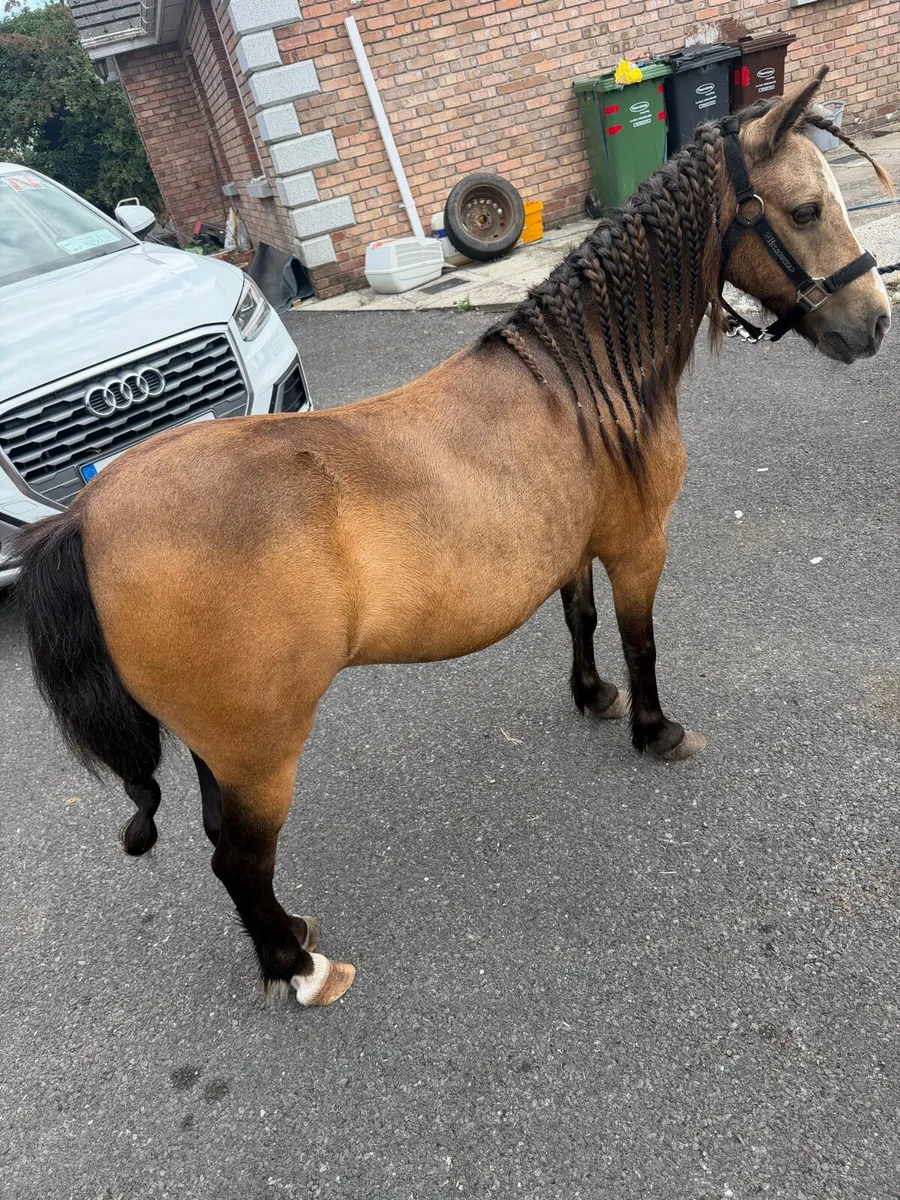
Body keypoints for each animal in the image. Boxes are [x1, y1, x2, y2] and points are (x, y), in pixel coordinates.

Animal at [13, 69, 892, 1007]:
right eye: (805, 209)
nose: (875, 322)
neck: (580, 382)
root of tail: (89, 515)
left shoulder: (572, 546)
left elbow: (581, 623)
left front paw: (594, 697)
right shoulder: (639, 547)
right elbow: (641, 640)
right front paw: (656, 730)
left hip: (223, 748)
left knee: (224, 840)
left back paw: (290, 938)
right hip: (260, 751)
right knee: (237, 859)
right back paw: (300, 969)